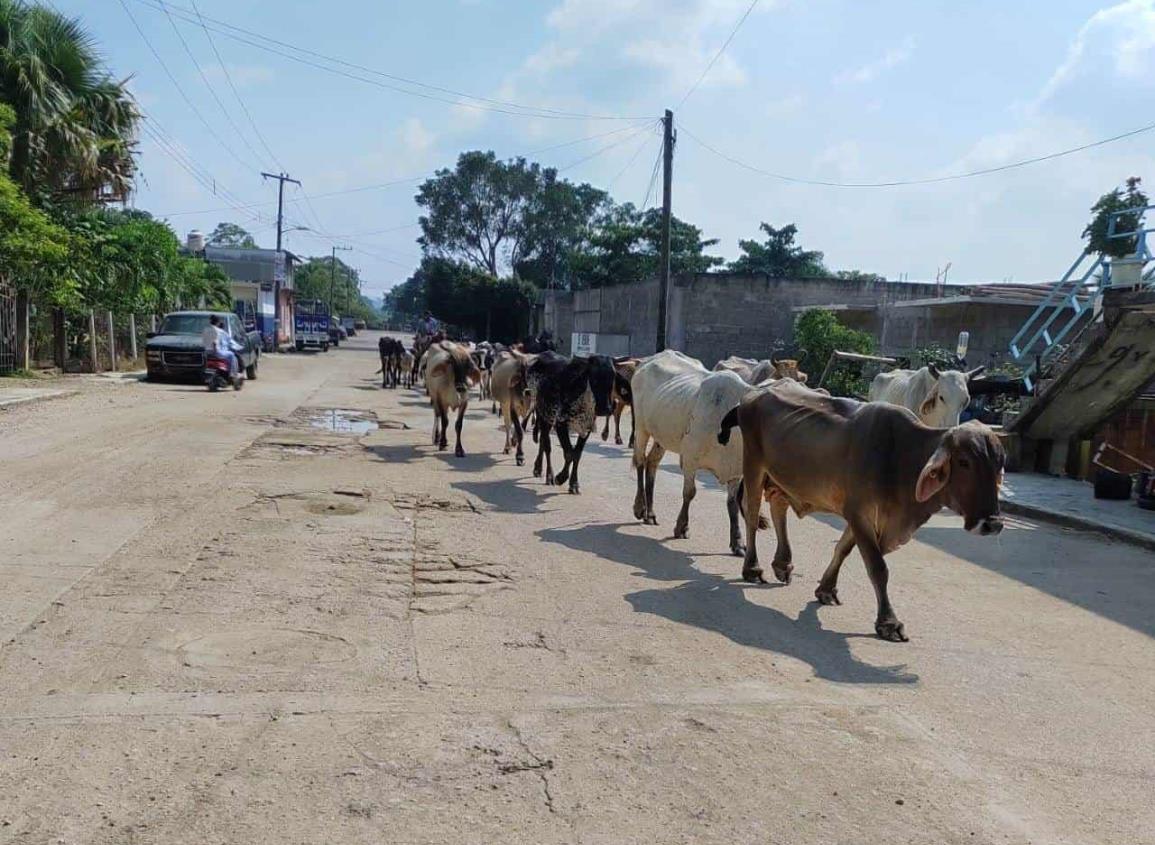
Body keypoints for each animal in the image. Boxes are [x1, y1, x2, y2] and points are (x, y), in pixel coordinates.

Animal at [632, 350, 766, 554]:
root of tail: (648, 360)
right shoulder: (689, 460)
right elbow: (689, 493)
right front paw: (681, 527)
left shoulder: (735, 471)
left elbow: (732, 504)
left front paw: (738, 542)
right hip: (641, 427)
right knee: (640, 461)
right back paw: (640, 508)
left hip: (662, 436)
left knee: (651, 463)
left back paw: (651, 513)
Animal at [720, 383, 1002, 641]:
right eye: (964, 462)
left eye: (999, 465)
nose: (994, 523)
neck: (900, 457)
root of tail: (755, 392)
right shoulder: (859, 513)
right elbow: (878, 567)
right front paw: (888, 622)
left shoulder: (861, 516)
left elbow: (843, 549)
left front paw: (826, 589)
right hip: (754, 466)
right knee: (752, 515)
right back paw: (752, 568)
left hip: (782, 479)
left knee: (779, 508)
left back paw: (782, 564)